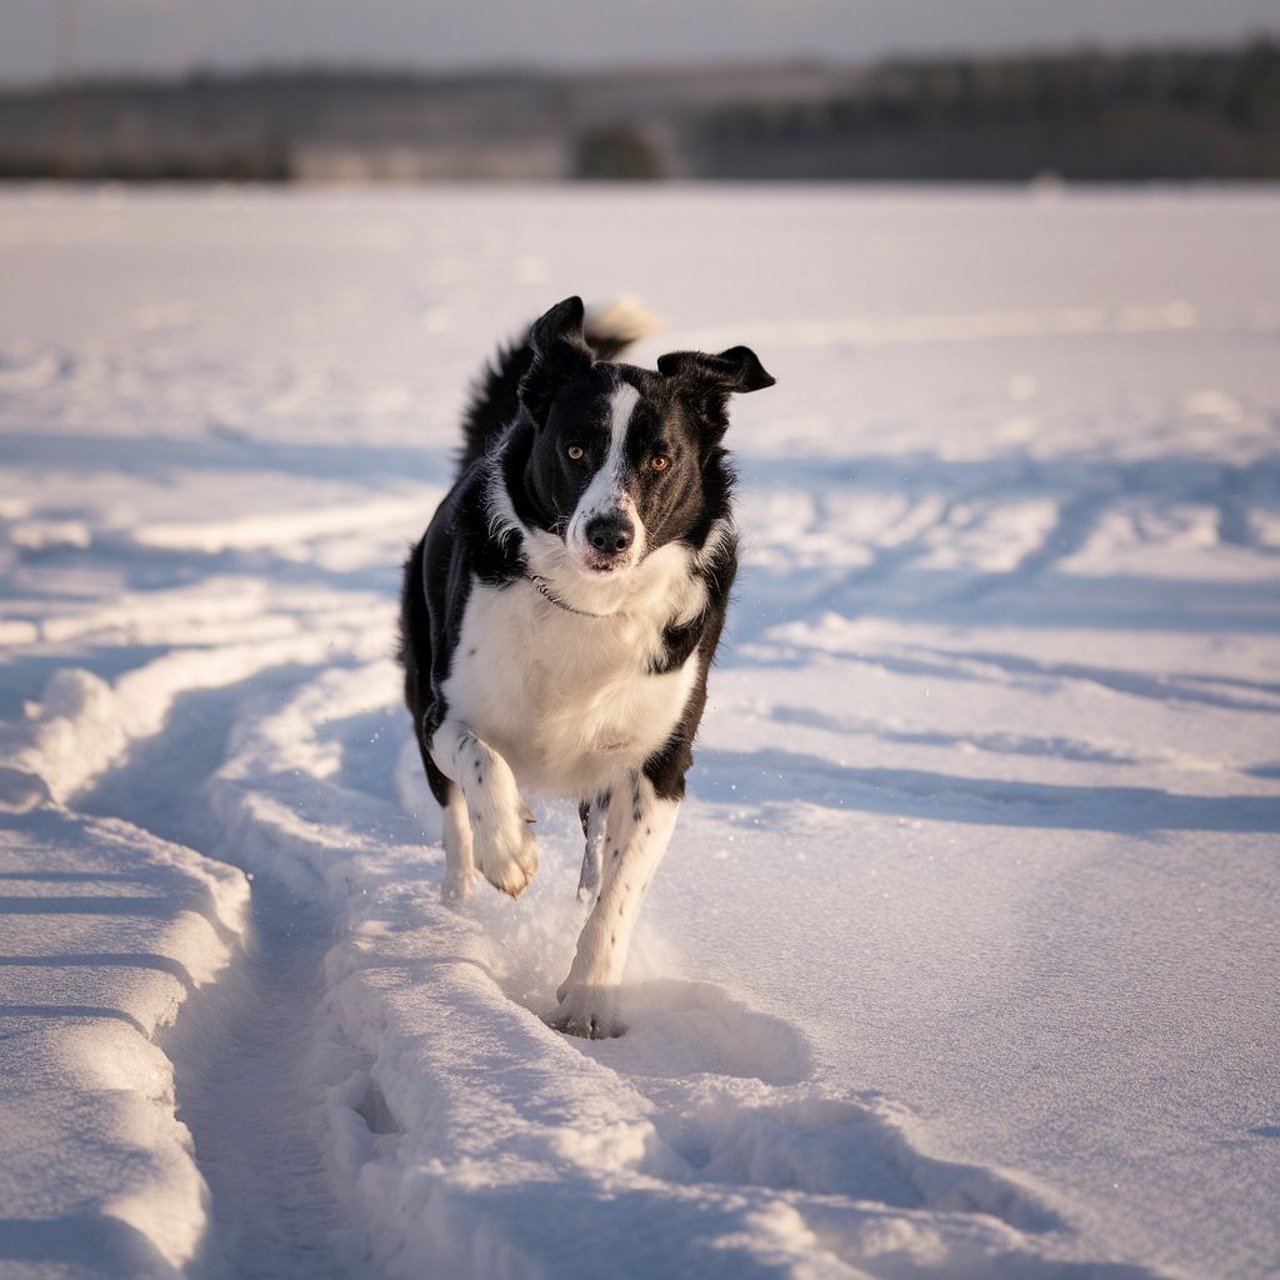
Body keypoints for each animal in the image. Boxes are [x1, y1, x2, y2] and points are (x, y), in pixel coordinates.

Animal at [396, 299, 768, 1039]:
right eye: (575, 450)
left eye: (660, 458)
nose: (610, 535)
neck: (590, 606)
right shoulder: (444, 712)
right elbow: (481, 759)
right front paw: (510, 850)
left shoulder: (661, 764)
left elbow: (619, 894)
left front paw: (589, 1000)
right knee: (452, 820)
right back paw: (458, 905)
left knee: (595, 863)